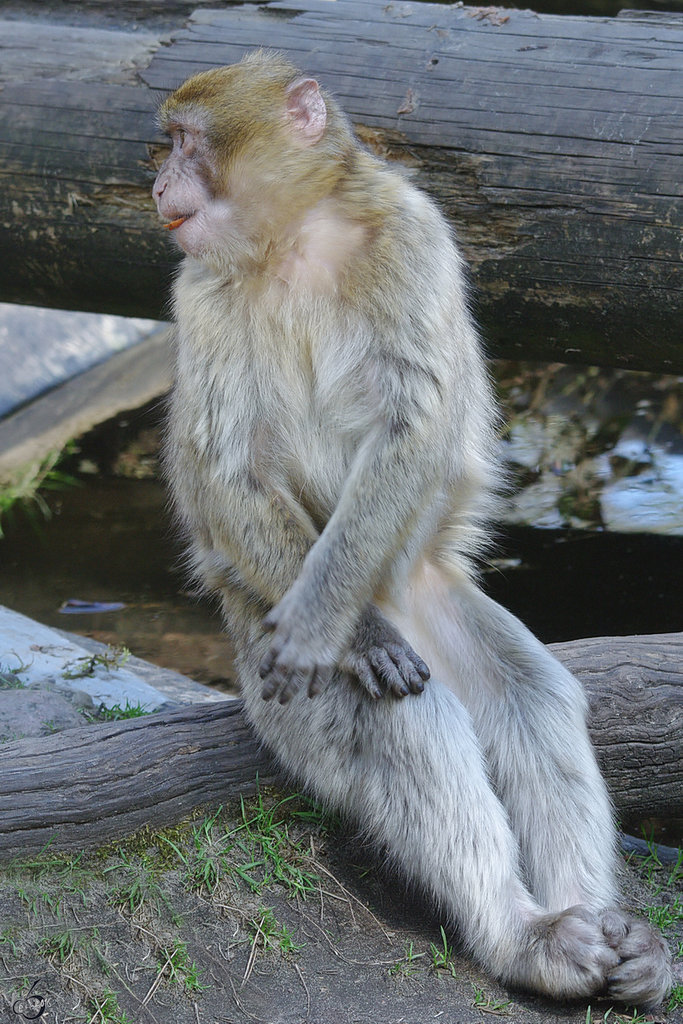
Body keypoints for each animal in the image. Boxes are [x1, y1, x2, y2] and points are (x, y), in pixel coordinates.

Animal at [152, 51, 671, 1003]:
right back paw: (520, 934)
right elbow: (230, 475)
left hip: (427, 590)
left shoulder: (410, 231)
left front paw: (325, 620)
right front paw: (342, 632)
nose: (158, 180)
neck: (294, 239)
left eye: (185, 141)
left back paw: (597, 929)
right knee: (398, 716)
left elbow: (412, 426)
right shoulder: (197, 291)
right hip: (263, 648)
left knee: (530, 702)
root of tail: (397, 596)